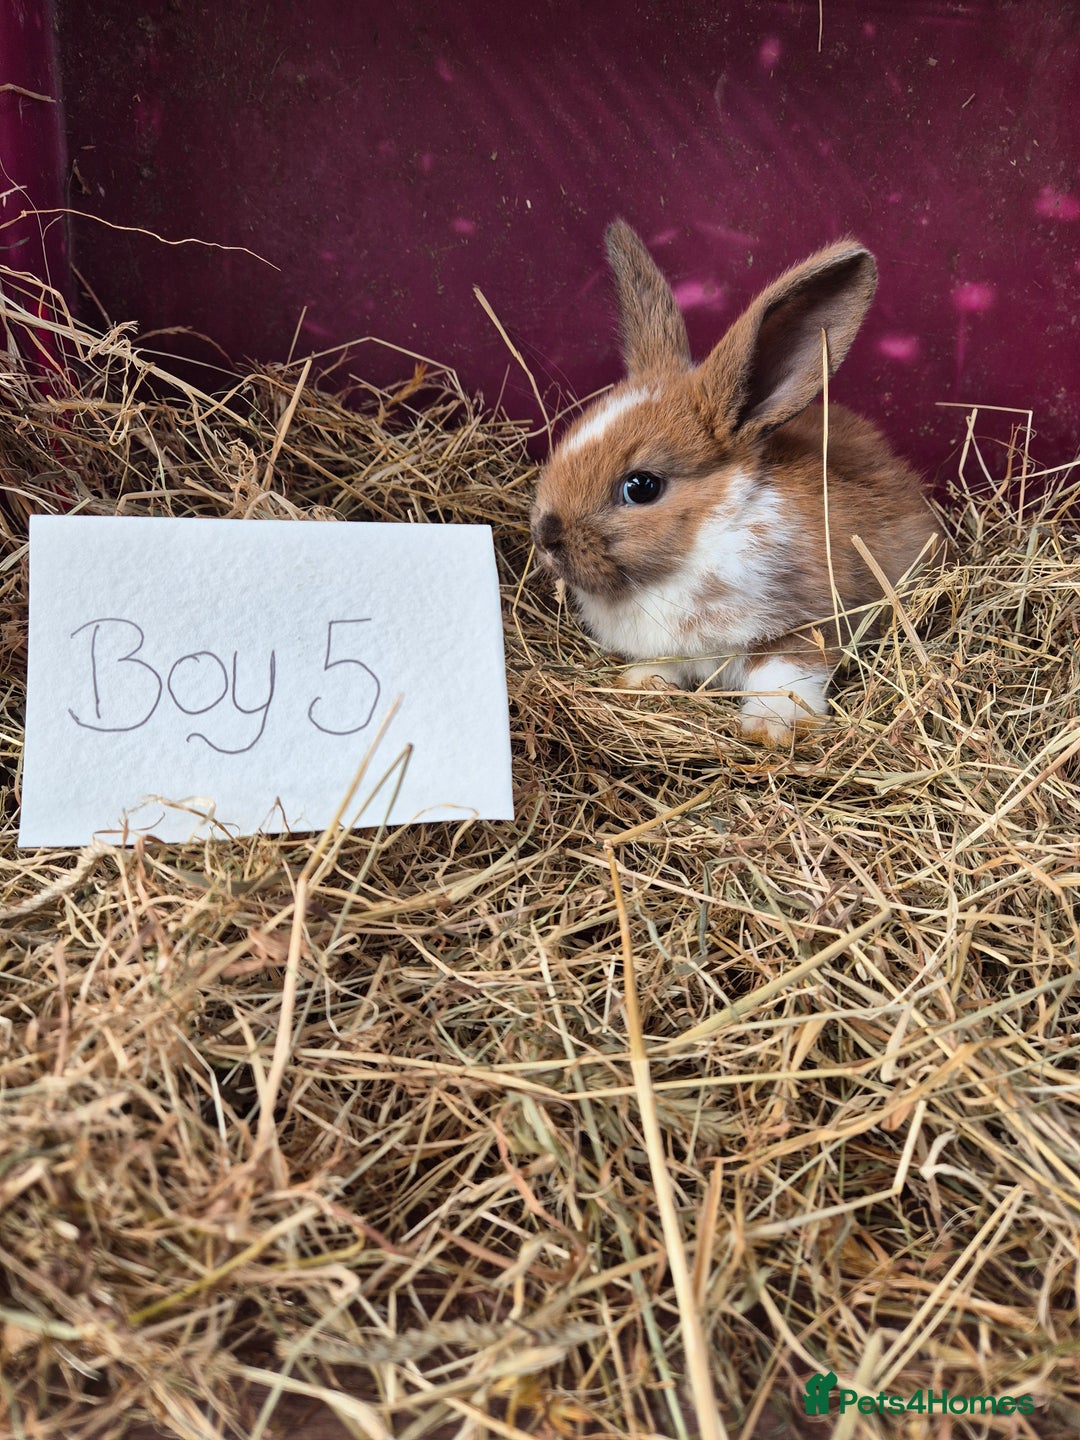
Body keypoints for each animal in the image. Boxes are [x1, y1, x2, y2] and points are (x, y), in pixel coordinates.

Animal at [529, 220, 941, 745]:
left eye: (641, 487)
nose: (545, 534)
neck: (702, 539)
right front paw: (641, 684)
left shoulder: (806, 621)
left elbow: (784, 674)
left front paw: (771, 729)